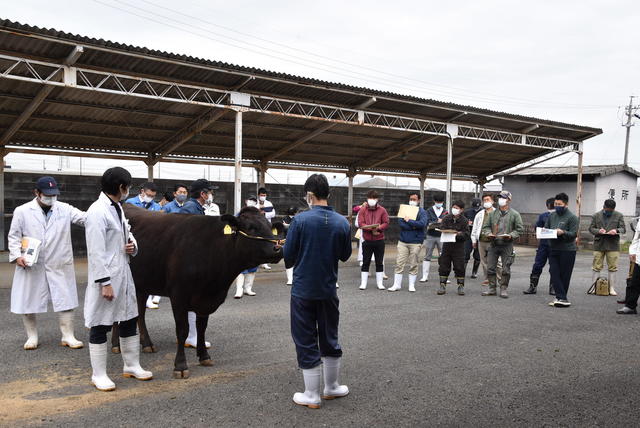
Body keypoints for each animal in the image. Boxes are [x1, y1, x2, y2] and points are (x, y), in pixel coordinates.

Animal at [115, 206, 284, 378]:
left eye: (270, 227)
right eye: (251, 227)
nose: (277, 248)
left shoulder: (206, 299)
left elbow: (201, 328)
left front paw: (204, 356)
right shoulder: (179, 296)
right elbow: (182, 330)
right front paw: (180, 366)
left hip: (141, 285)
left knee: (139, 313)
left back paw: (143, 344)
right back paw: (118, 345)